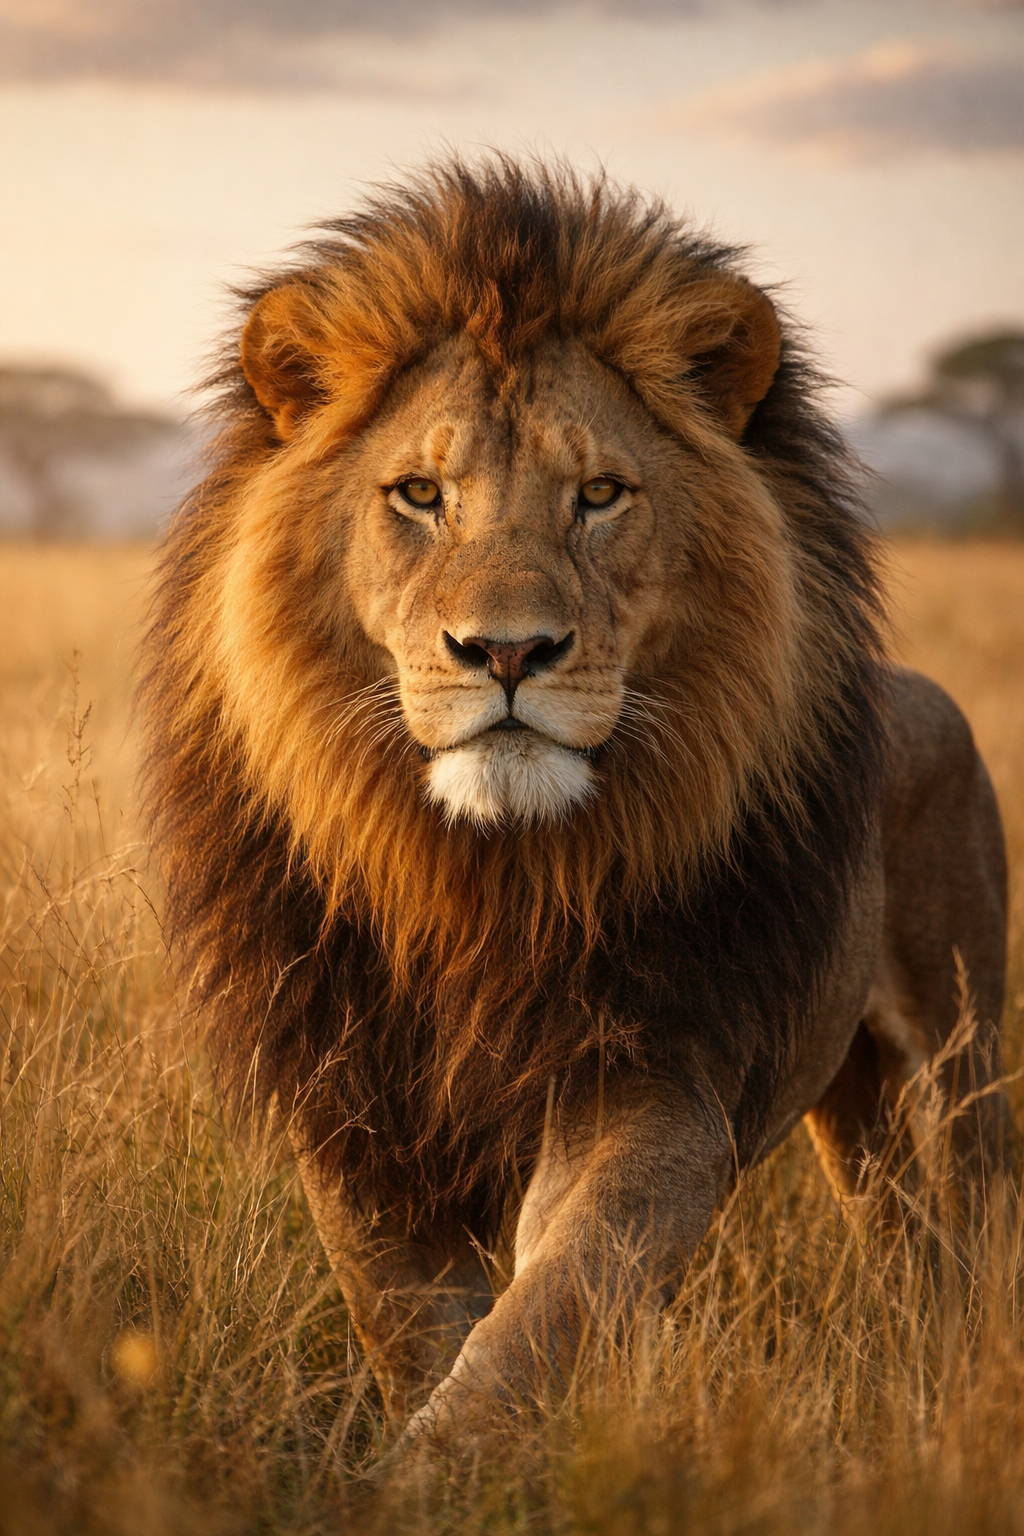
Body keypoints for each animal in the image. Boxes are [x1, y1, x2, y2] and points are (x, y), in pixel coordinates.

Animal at [142, 158, 1008, 1451]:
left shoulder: (650, 1071)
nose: (506, 652)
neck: (480, 877)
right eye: (418, 494)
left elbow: (556, 1301)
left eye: (598, 494)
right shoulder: (352, 1107)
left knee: (981, 1203)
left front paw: (438, 1468)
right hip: (851, 1097)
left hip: (963, 1048)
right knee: (903, 1237)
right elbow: (410, 1325)